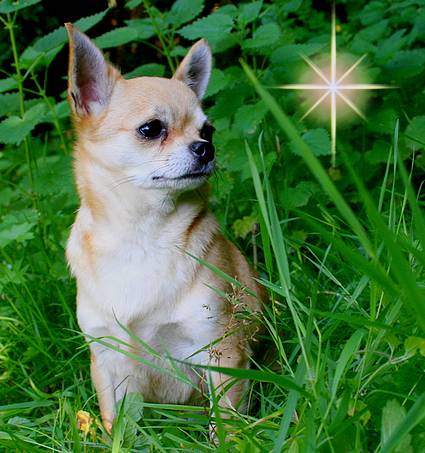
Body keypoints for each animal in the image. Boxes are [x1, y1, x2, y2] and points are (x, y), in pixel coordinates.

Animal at [65, 23, 263, 436]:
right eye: (151, 129)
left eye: (209, 130)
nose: (206, 148)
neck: (141, 237)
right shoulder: (107, 359)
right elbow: (117, 426)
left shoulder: (220, 350)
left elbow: (227, 425)